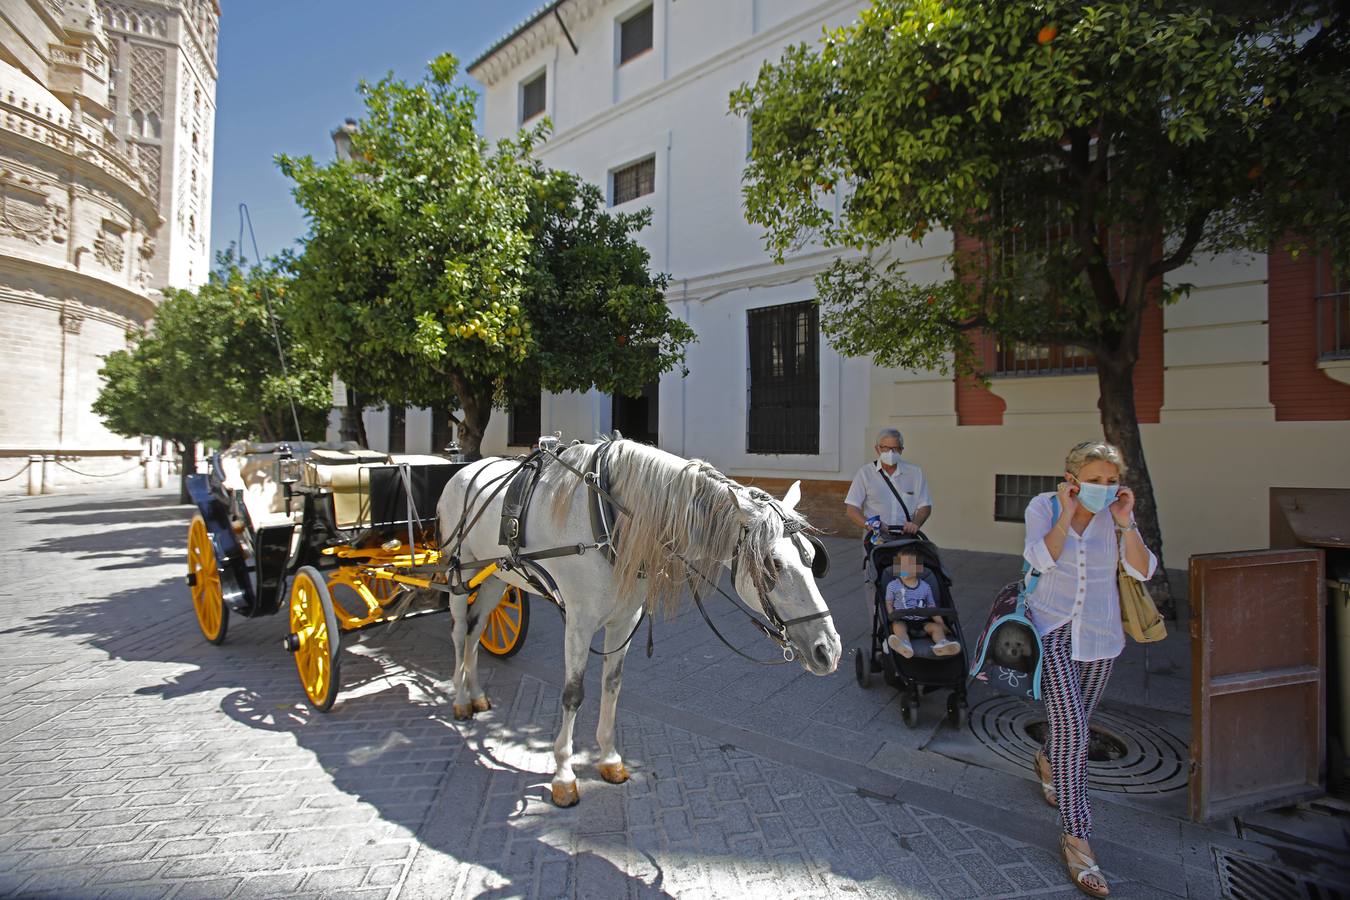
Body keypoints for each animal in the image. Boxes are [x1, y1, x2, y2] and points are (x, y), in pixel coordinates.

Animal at [440, 437, 842, 809]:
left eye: (812, 556)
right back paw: (459, 699)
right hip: (460, 572)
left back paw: (476, 694)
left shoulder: (623, 620)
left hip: (496, 577)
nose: (829, 649)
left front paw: (609, 759)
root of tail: (462, 470)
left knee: (477, 628)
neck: (609, 516)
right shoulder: (579, 623)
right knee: (459, 632)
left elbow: (612, 686)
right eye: (774, 563)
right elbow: (573, 695)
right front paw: (564, 776)